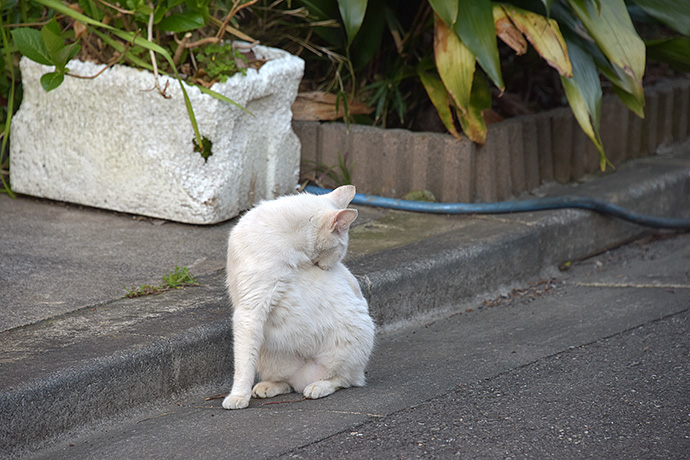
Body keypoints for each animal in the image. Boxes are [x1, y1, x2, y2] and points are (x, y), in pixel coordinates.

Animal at [222, 184, 374, 410]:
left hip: (356, 337)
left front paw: (238, 396)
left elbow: (242, 364)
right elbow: (244, 361)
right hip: (269, 357)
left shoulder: (251, 309)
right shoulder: (250, 310)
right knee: (289, 384)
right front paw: (241, 394)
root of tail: (304, 376)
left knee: (344, 379)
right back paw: (269, 386)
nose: (329, 267)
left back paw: (318, 386)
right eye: (340, 251)